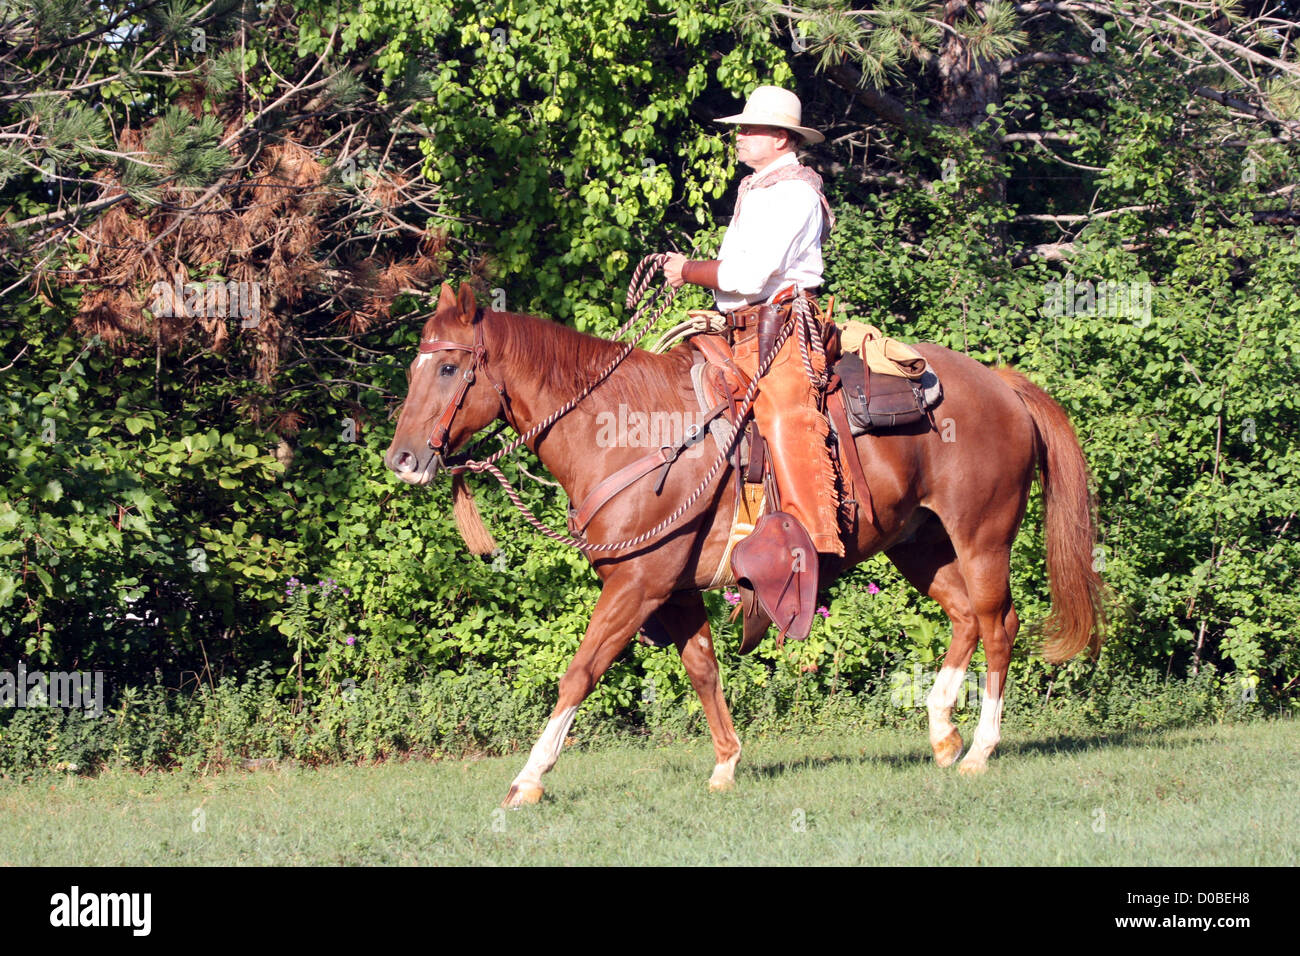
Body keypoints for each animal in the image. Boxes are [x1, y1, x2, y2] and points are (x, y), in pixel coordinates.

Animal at [385, 281, 1106, 808]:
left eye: (448, 366)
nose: (402, 460)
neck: (624, 430)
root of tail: (1002, 383)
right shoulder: (670, 591)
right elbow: (703, 669)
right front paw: (727, 765)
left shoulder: (636, 585)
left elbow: (580, 672)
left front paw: (528, 780)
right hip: (919, 543)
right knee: (963, 618)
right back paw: (941, 732)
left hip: (982, 534)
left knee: (998, 622)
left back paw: (980, 748)